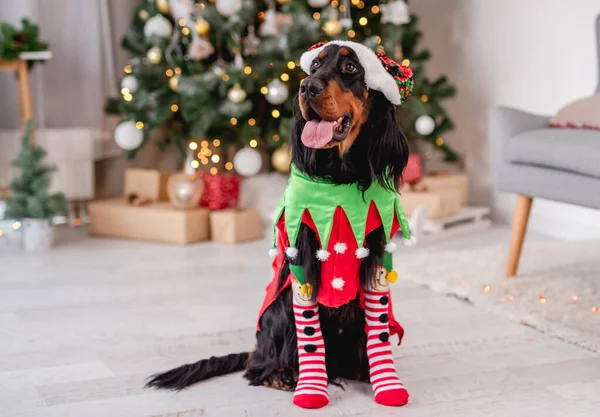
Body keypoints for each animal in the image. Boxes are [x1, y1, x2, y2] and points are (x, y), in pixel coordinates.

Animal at [148, 40, 414, 408]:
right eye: (314, 65)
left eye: (350, 68)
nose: (307, 87)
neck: (340, 177)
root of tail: (257, 348)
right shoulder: (302, 252)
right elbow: (308, 329)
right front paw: (311, 388)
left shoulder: (376, 249)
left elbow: (378, 324)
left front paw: (385, 381)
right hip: (278, 310)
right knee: (259, 367)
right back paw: (284, 372)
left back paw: (357, 367)